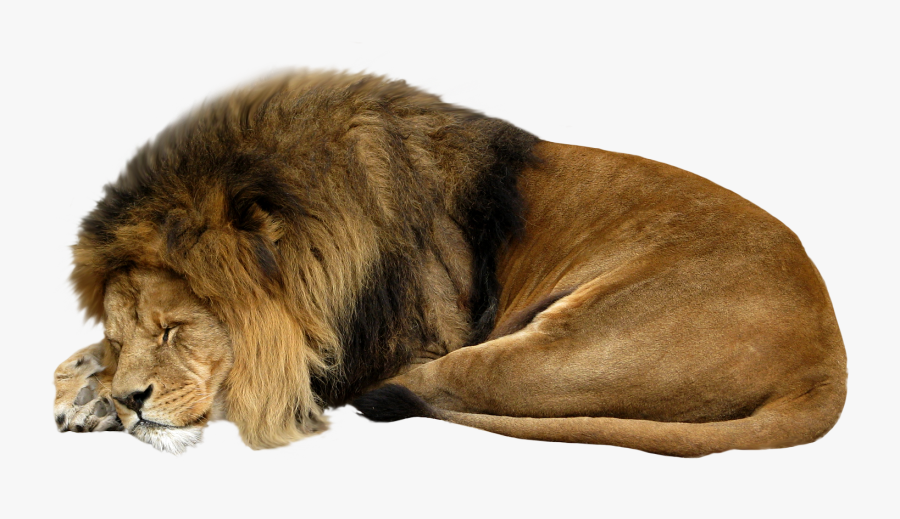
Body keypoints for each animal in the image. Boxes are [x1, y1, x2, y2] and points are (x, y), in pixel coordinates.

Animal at [53, 71, 847, 456]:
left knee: (451, 382)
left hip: (564, 341)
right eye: (123, 334)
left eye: (176, 329)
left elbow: (268, 379)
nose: (131, 400)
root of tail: (830, 356)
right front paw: (88, 390)